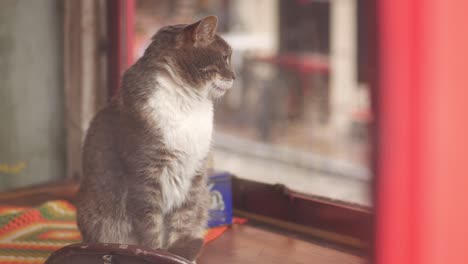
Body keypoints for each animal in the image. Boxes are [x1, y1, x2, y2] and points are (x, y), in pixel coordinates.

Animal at [77, 16, 236, 262]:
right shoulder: (145, 177)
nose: (235, 77)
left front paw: (180, 255)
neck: (188, 103)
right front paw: (156, 254)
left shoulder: (194, 175)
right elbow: (150, 230)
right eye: (225, 57)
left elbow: (183, 222)